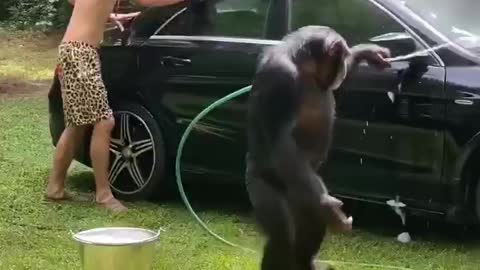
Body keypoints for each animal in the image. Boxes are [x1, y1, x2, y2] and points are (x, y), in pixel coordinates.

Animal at [246, 25, 392, 270]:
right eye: (338, 56)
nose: (342, 67)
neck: (303, 64)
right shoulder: (280, 78)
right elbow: (283, 141)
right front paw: (330, 207)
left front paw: (368, 52)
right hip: (263, 185)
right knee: (282, 238)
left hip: (306, 200)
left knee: (312, 226)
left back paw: (307, 262)